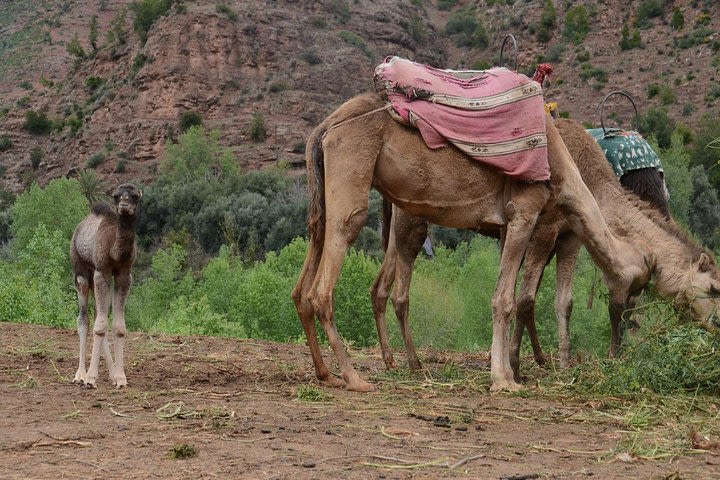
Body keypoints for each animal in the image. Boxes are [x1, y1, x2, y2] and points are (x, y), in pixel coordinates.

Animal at [71, 182, 141, 388]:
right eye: (116, 196)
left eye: (135, 196)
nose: (124, 205)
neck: (114, 251)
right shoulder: (102, 271)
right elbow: (100, 326)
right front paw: (91, 379)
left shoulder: (124, 275)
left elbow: (118, 326)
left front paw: (120, 378)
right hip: (81, 271)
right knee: (84, 319)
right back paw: (80, 374)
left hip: (96, 278)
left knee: (96, 314)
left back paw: (109, 374)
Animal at [290, 92, 648, 392]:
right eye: (638, 284)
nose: (622, 342)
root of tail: (325, 128)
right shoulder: (525, 212)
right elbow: (504, 300)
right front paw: (503, 379)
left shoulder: (506, 225)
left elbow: (508, 294)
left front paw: (509, 370)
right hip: (353, 176)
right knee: (329, 271)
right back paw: (354, 377)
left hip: (324, 192)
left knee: (307, 273)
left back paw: (327, 374)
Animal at [372, 117, 720, 378]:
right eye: (714, 288)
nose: (715, 325)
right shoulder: (546, 227)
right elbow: (526, 299)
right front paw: (516, 364)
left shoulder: (570, 236)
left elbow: (563, 302)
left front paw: (561, 361)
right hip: (413, 218)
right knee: (401, 289)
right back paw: (413, 362)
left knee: (380, 285)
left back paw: (389, 358)